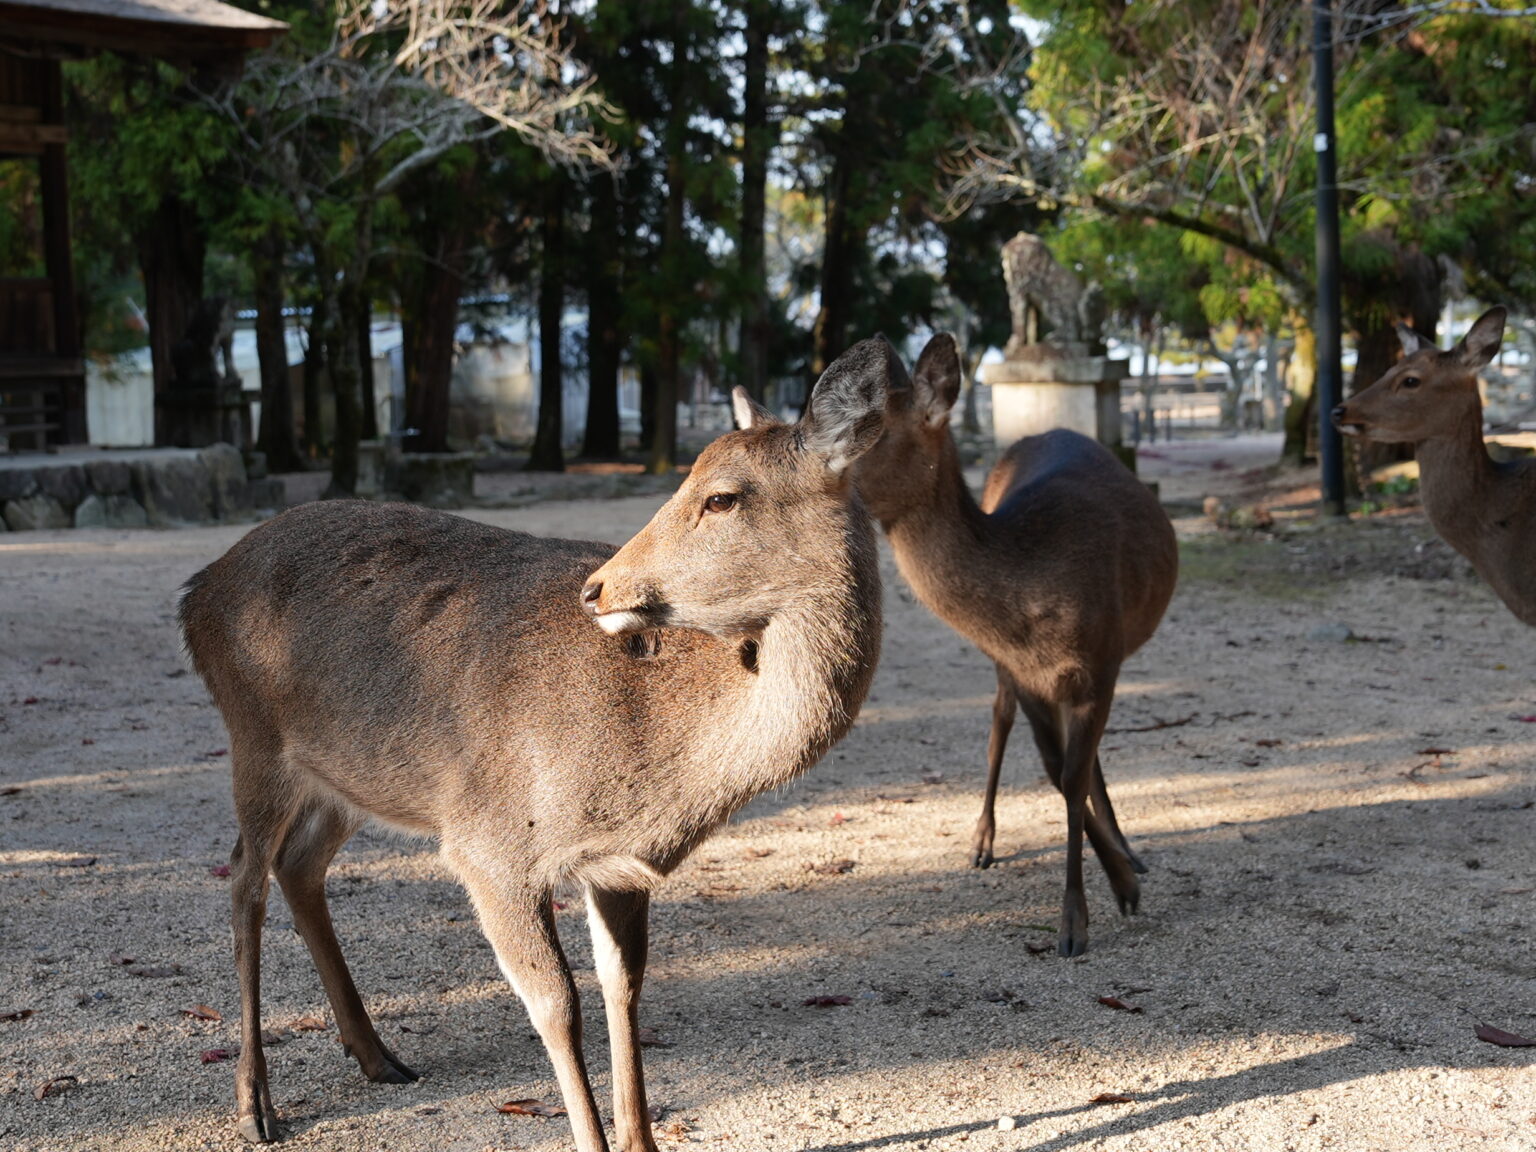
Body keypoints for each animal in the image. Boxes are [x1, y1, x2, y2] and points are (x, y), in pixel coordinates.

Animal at [177, 338, 892, 1150]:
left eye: (722, 497)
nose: (599, 588)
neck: (655, 769)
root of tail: (196, 594)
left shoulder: (618, 865)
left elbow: (625, 986)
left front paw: (640, 1139)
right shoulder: (488, 844)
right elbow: (555, 1004)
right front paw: (592, 1138)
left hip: (348, 777)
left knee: (299, 866)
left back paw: (377, 1055)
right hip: (253, 737)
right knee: (243, 878)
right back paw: (254, 1101)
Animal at [852, 333, 1178, 957]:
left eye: (871, 432)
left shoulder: (1102, 660)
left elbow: (1072, 776)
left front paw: (1090, 910)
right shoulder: (1025, 673)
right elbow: (1054, 771)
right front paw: (1104, 896)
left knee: (1084, 756)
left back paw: (1130, 849)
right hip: (1006, 668)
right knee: (999, 722)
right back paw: (983, 841)